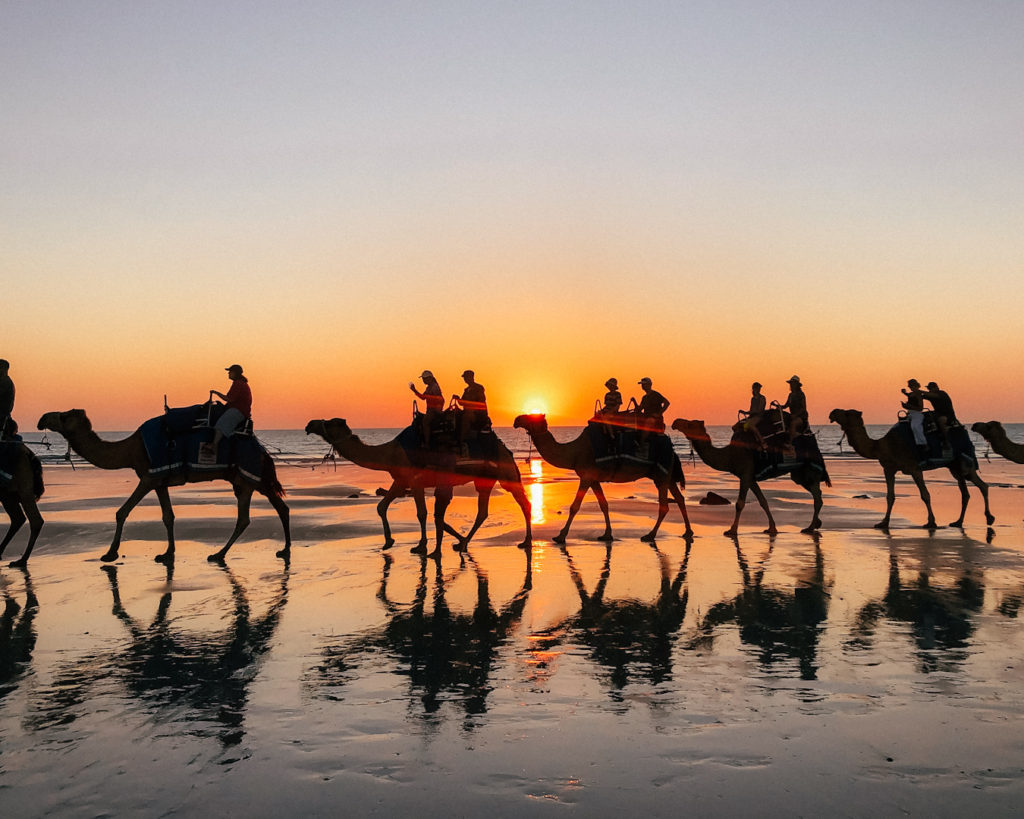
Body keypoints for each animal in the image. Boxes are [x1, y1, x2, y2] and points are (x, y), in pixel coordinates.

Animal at [37, 409, 290, 565]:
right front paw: (167, 553)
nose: (42, 419)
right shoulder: (160, 481)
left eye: (63, 416)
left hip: (251, 477)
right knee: (262, 513)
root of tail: (263, 452)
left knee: (262, 512)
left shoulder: (148, 477)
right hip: (245, 481)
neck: (131, 449)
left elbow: (122, 511)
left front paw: (110, 553)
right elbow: (168, 516)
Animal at [303, 415, 532, 556]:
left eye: (330, 422)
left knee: (523, 502)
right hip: (484, 478)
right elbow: (382, 506)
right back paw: (463, 542)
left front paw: (421, 545)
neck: (390, 452)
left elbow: (421, 513)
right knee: (483, 511)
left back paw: (525, 541)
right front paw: (388, 541)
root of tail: (505, 447)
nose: (309, 424)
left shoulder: (414, 480)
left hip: (506, 472)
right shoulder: (401, 480)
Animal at [509, 413, 692, 540]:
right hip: (665, 475)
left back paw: (650, 535)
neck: (574, 452)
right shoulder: (594, 478)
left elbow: (575, 506)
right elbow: (604, 504)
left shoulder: (586, 476)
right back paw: (688, 532)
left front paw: (561, 536)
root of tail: (672, 448)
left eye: (531, 417)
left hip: (661, 474)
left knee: (664, 505)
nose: (516, 419)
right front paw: (607, 534)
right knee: (680, 498)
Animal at [671, 415, 831, 536]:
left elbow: (740, 503)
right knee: (817, 493)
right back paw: (816, 524)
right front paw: (772, 528)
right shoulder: (751, 478)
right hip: (800, 474)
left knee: (817, 498)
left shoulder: (745, 474)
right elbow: (763, 501)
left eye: (689, 424)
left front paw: (732, 530)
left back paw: (810, 527)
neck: (729, 455)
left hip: (810, 469)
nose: (675, 422)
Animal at [831, 409, 991, 532]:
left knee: (981, 486)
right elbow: (890, 496)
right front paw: (883, 523)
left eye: (846, 413)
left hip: (964, 462)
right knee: (968, 492)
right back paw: (958, 522)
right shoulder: (889, 468)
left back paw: (988, 518)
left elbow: (925, 495)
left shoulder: (914, 468)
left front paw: (931, 522)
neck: (882, 445)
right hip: (955, 466)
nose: (832, 412)